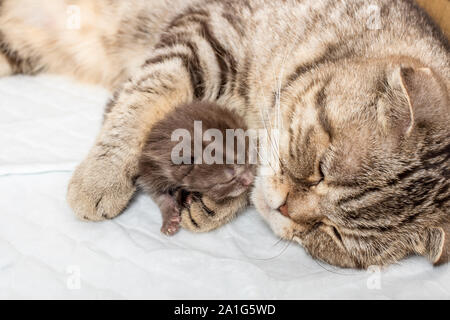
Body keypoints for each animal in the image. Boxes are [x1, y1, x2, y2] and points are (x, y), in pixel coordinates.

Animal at [137, 102, 255, 235]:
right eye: (228, 180)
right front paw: (170, 216)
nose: (250, 180)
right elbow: (157, 193)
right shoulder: (151, 167)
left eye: (249, 162)